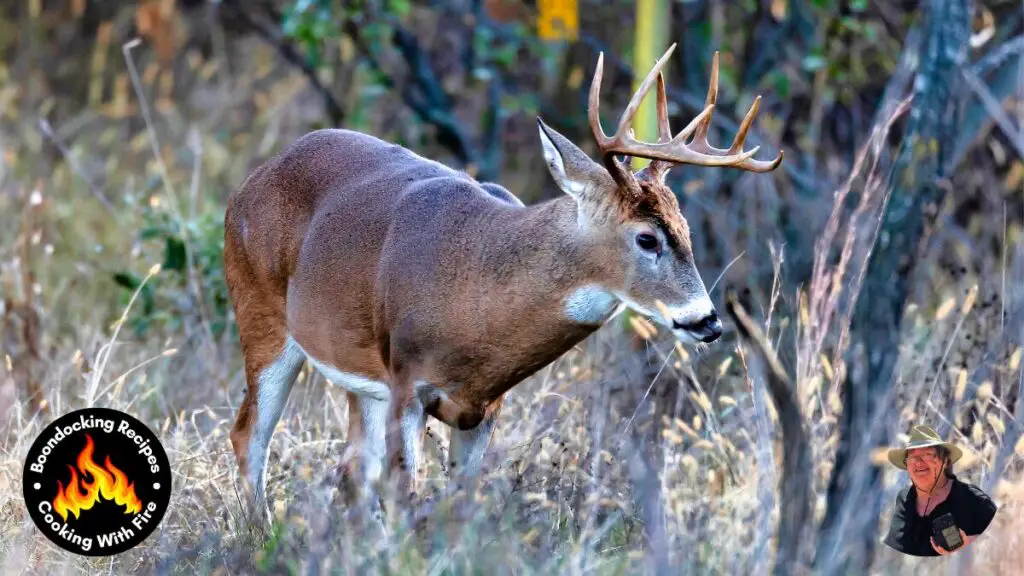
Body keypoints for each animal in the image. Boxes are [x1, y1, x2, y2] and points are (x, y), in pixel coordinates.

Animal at [224, 42, 782, 522]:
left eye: (687, 229)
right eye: (647, 238)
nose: (708, 320)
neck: (477, 303)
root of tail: (250, 183)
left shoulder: (485, 406)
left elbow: (459, 503)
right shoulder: (407, 379)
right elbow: (404, 495)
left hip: (356, 370)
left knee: (349, 468)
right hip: (261, 317)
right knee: (249, 435)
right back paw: (260, 537)